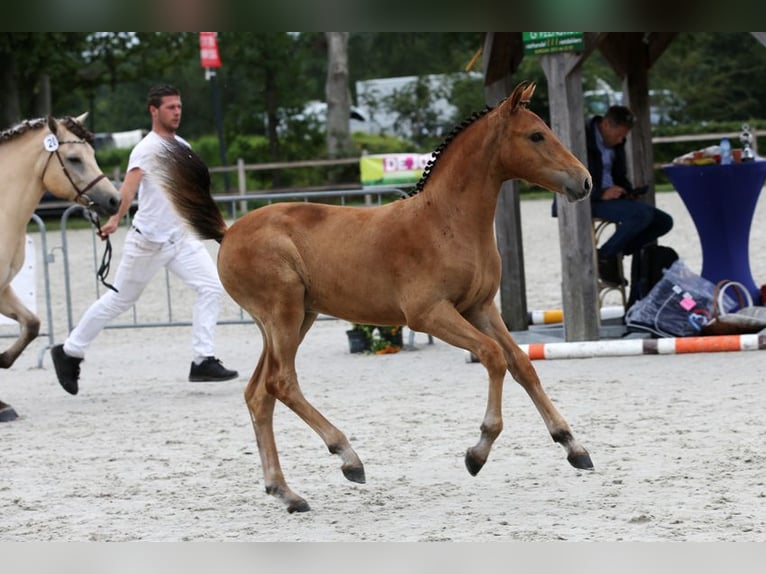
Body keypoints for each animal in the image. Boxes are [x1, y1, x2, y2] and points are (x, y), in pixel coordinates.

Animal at [156, 81, 594, 512]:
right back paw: (347, 457)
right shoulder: (429, 314)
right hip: (283, 314)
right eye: (536, 135)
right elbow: (492, 356)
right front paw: (477, 453)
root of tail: (229, 232)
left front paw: (573, 446)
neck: (447, 221)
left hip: (292, 320)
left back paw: (286, 492)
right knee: (281, 383)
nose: (585, 181)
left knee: (259, 394)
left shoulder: (479, 307)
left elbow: (522, 363)